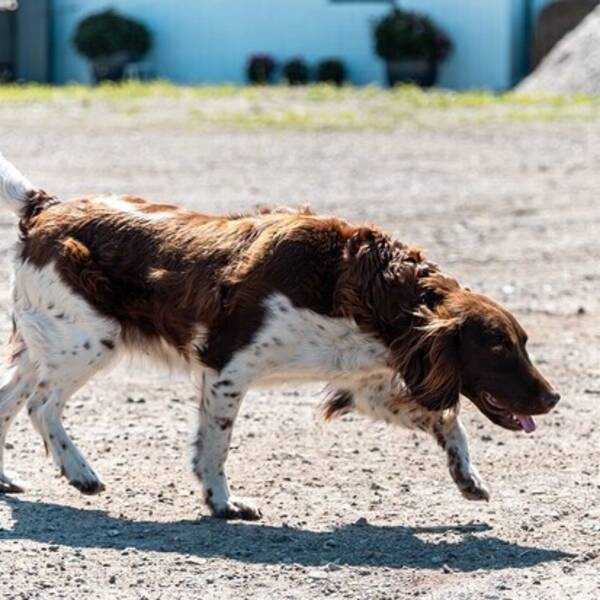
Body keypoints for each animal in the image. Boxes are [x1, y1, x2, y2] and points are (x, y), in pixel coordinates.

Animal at [1, 155, 564, 520]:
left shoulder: (370, 387)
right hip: (90, 341)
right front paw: (223, 503)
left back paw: (7, 480)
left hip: (45, 346)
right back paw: (80, 472)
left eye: (523, 342)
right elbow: (215, 446)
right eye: (499, 347)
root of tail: (46, 207)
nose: (553, 397)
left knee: (10, 402)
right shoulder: (228, 369)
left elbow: (449, 423)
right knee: (41, 407)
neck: (360, 288)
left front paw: (467, 478)